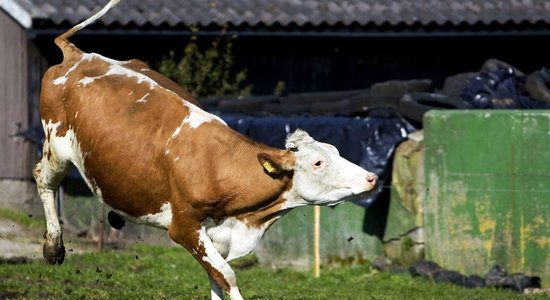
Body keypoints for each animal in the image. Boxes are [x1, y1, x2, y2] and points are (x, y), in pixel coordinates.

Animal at [34, 1, 380, 298]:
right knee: (43, 179)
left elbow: (215, 277)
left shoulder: (217, 234)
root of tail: (80, 55)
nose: (372, 178)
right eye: (318, 162)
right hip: (57, 148)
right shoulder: (185, 227)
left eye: (336, 150)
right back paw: (53, 248)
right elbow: (227, 276)